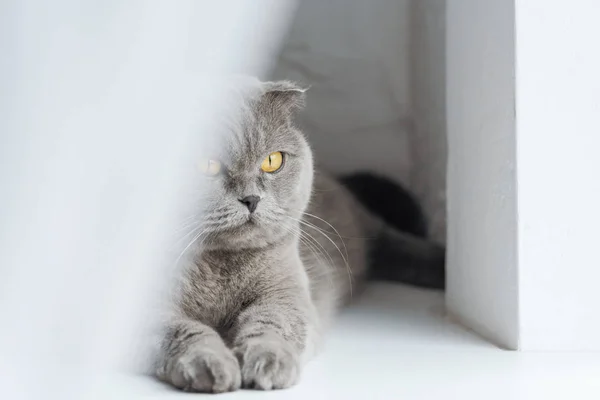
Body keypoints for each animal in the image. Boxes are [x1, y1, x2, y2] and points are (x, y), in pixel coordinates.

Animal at [155, 79, 446, 392]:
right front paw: (211, 364)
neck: (220, 268)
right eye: (206, 165)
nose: (251, 199)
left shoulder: (285, 293)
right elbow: (181, 331)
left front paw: (267, 363)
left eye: (272, 161)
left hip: (367, 233)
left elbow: (273, 324)